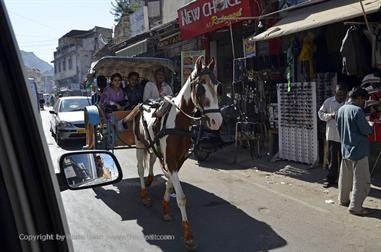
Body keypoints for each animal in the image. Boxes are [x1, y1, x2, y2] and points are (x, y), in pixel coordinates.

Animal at [128, 56, 223, 249]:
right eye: (200, 87)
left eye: (218, 86)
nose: (216, 121)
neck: (179, 123)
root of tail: (143, 103)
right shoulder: (170, 160)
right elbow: (181, 197)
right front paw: (188, 234)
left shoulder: (178, 160)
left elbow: (170, 184)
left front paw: (165, 208)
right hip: (139, 143)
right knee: (140, 168)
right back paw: (144, 195)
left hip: (151, 144)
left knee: (151, 160)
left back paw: (150, 180)